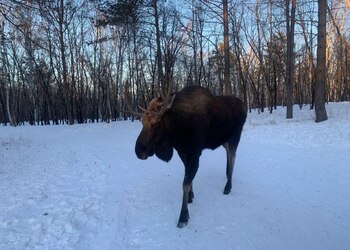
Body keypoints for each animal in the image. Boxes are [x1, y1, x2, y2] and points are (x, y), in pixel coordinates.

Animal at [133, 86, 246, 229]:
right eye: (142, 122)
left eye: (157, 124)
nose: (139, 151)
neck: (178, 130)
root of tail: (244, 105)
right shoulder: (182, 152)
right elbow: (188, 177)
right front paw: (191, 197)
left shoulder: (195, 152)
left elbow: (185, 183)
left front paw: (183, 216)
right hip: (224, 140)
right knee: (229, 155)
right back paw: (226, 174)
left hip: (235, 137)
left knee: (233, 157)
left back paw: (228, 186)